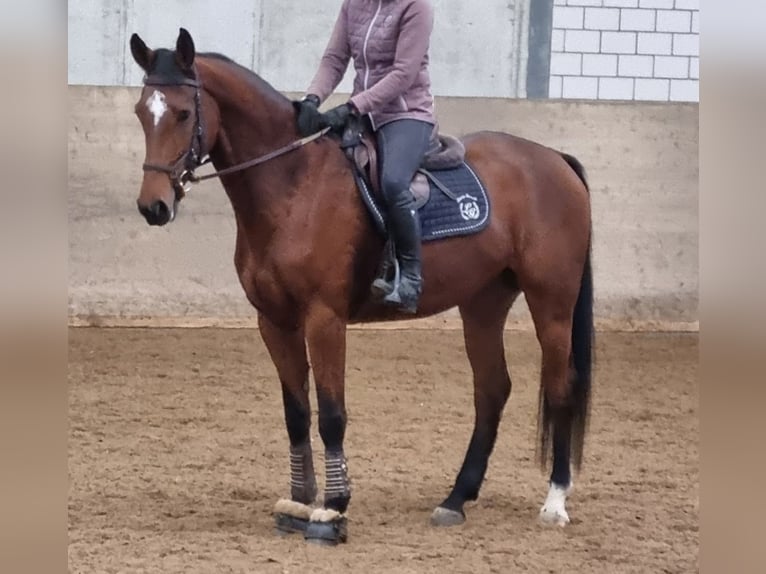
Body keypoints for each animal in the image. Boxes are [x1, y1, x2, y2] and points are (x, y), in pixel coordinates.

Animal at [129, 28, 596, 548]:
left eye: (184, 113)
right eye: (142, 111)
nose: (153, 207)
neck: (293, 184)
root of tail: (553, 159)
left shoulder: (324, 318)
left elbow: (332, 414)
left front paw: (333, 508)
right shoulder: (275, 322)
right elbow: (296, 414)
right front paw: (299, 500)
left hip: (552, 302)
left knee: (560, 386)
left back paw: (554, 501)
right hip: (483, 302)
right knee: (492, 389)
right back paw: (456, 499)